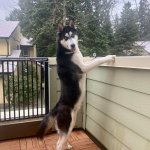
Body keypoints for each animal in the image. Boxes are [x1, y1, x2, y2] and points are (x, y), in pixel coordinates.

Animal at [37, 21, 115, 150]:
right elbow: (97, 60)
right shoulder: (83, 68)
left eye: (72, 35)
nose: (73, 45)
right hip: (68, 123)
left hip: (70, 125)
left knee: (60, 140)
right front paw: (109, 57)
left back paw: (67, 145)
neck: (66, 51)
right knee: (58, 145)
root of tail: (57, 107)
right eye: (66, 38)